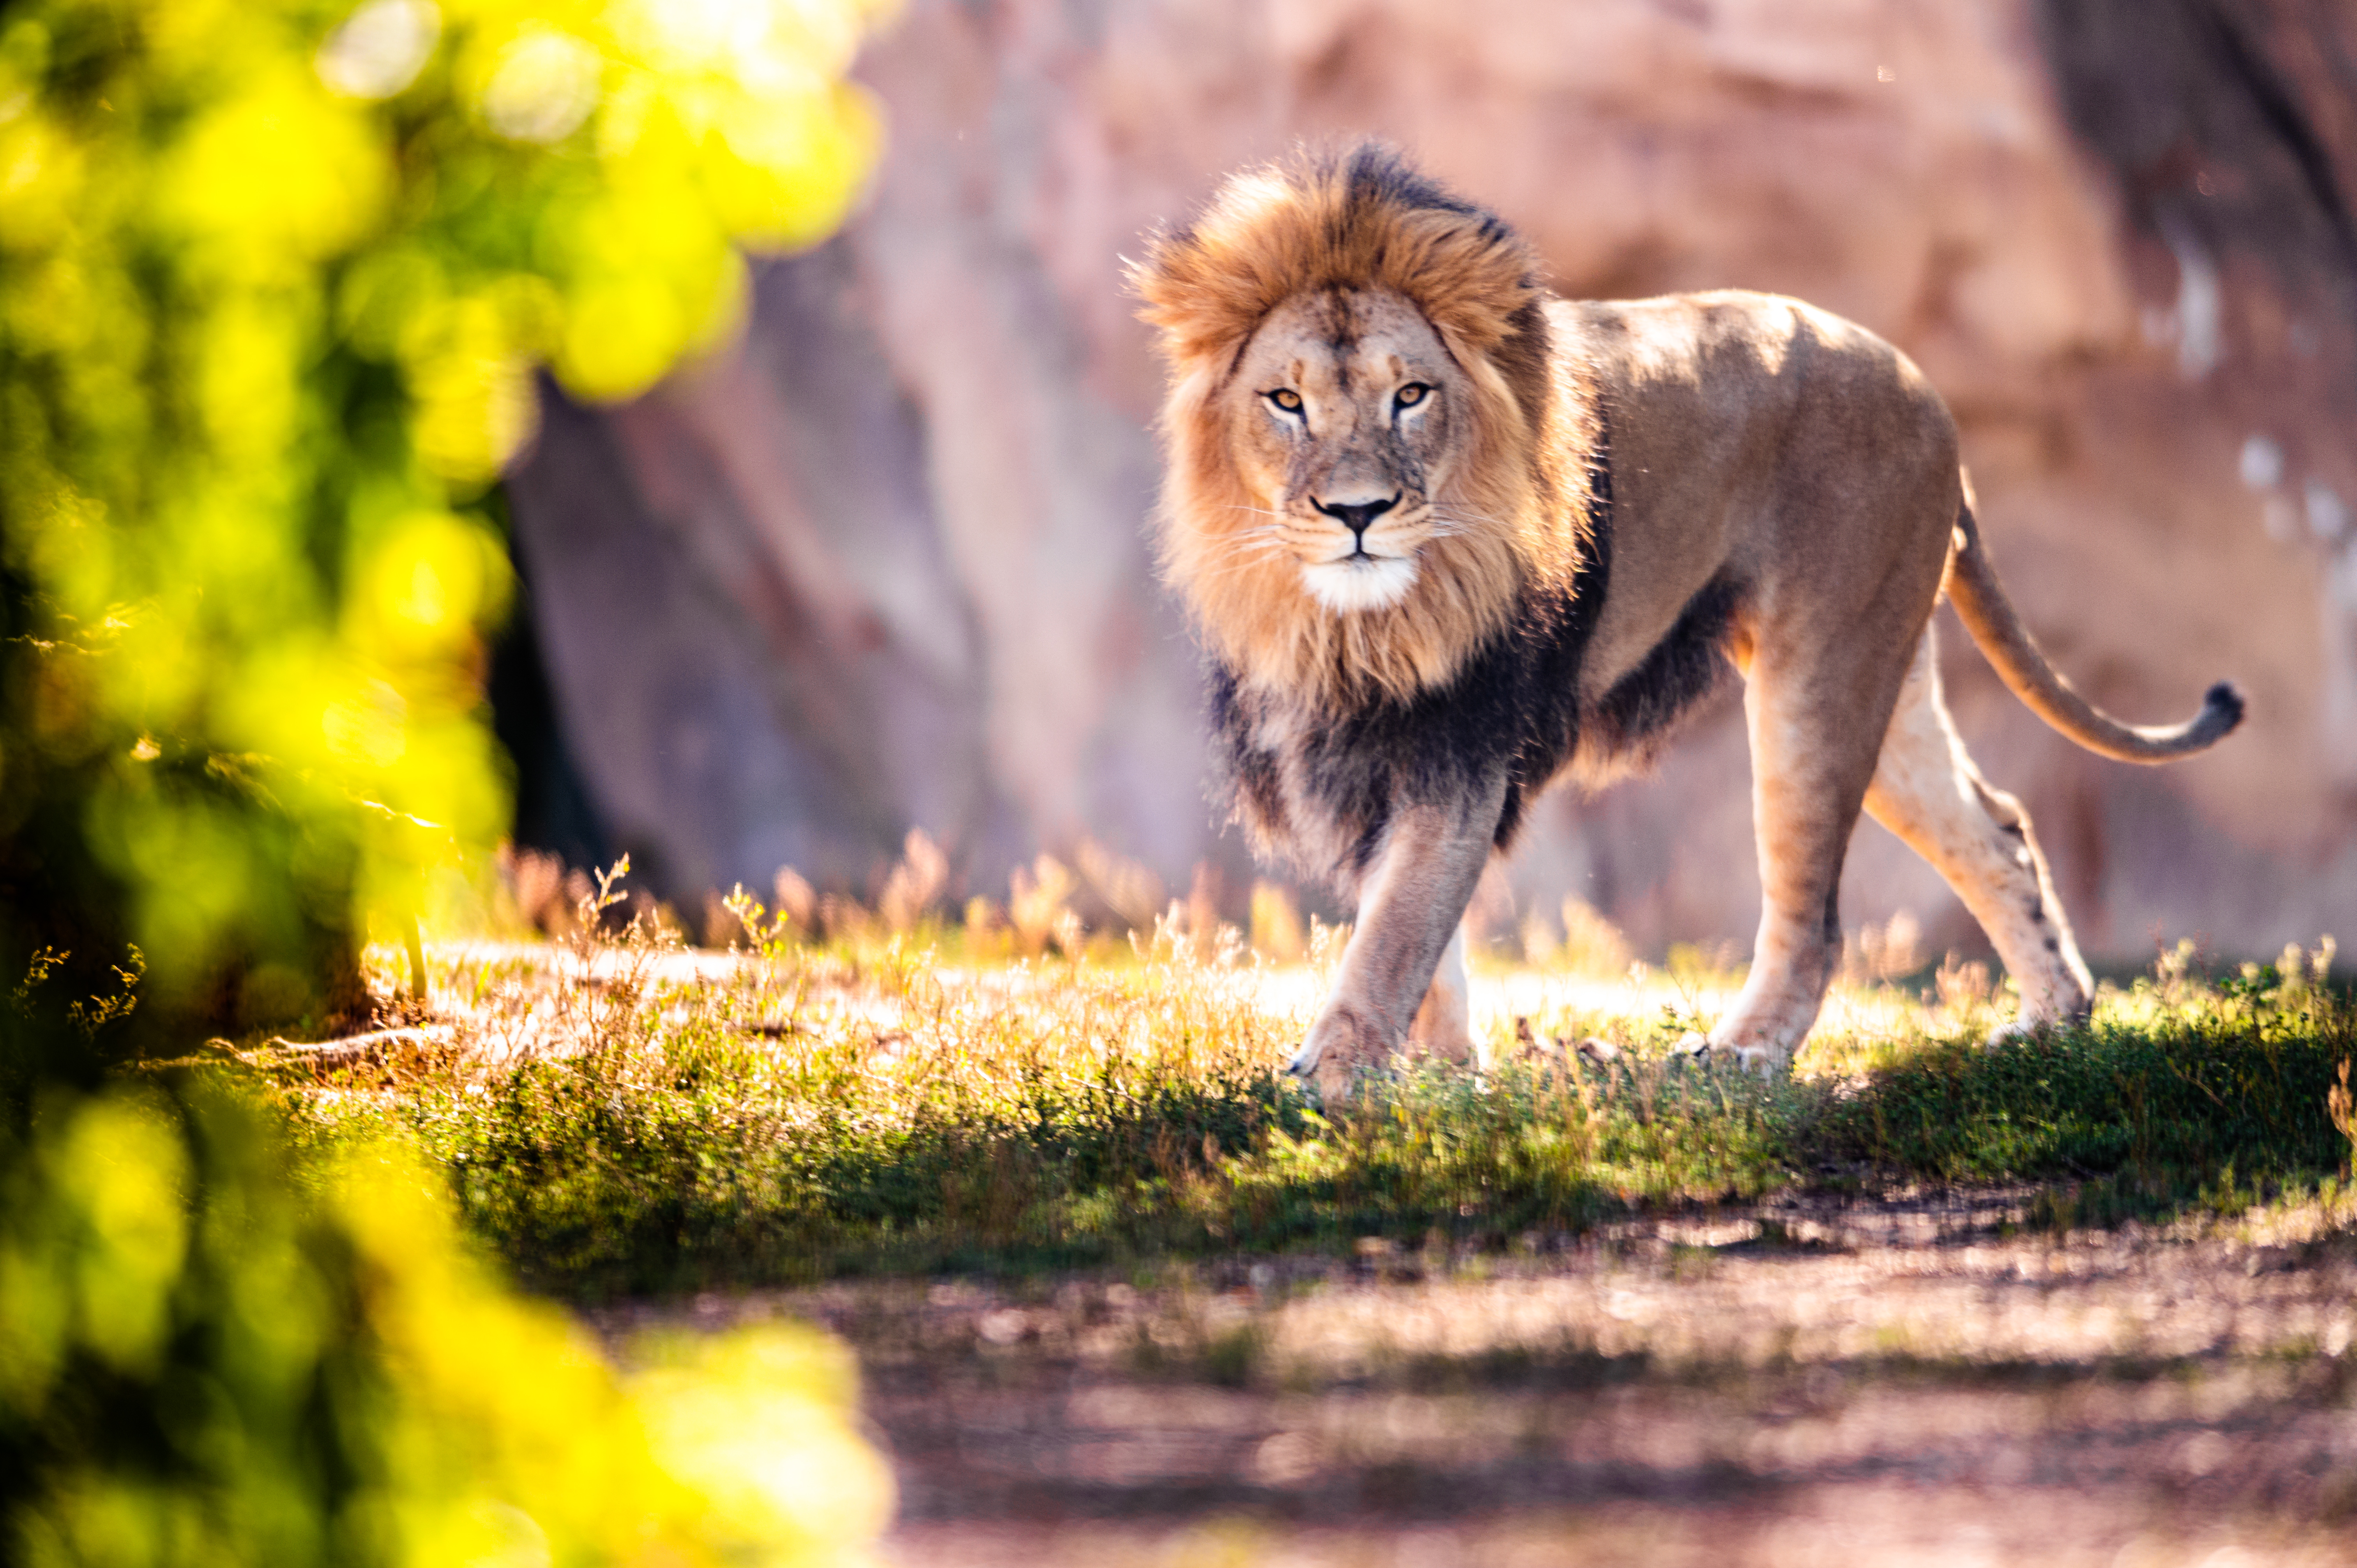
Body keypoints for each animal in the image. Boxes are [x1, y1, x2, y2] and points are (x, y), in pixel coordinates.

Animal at [1131, 147, 2234, 1089]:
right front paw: (1443, 1072)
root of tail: (1925, 391)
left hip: (1812, 680)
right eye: (1285, 402)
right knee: (1996, 828)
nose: (1356, 512)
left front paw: (1341, 1073)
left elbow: (1402, 919)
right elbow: (1414, 929)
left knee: (1815, 913)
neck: (1349, 624)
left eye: (1411, 395)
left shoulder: (1465, 743)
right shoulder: (1356, 748)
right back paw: (2055, 1023)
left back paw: (1741, 1054)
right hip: (1886, 659)